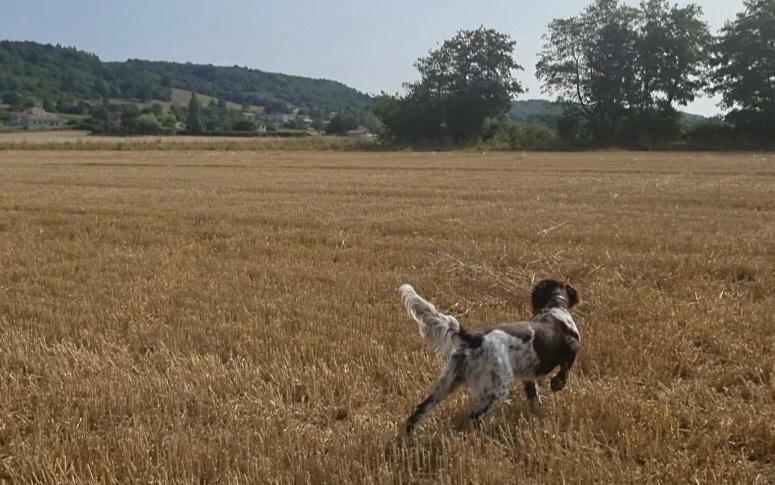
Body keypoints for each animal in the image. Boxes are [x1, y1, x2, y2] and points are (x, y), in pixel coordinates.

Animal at [400, 278, 584, 432]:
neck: (555, 307)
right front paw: (557, 384)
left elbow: (534, 396)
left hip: (447, 383)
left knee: (419, 410)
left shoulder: (529, 376)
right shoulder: (572, 346)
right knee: (475, 416)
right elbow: (565, 369)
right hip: (498, 387)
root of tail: (472, 338)